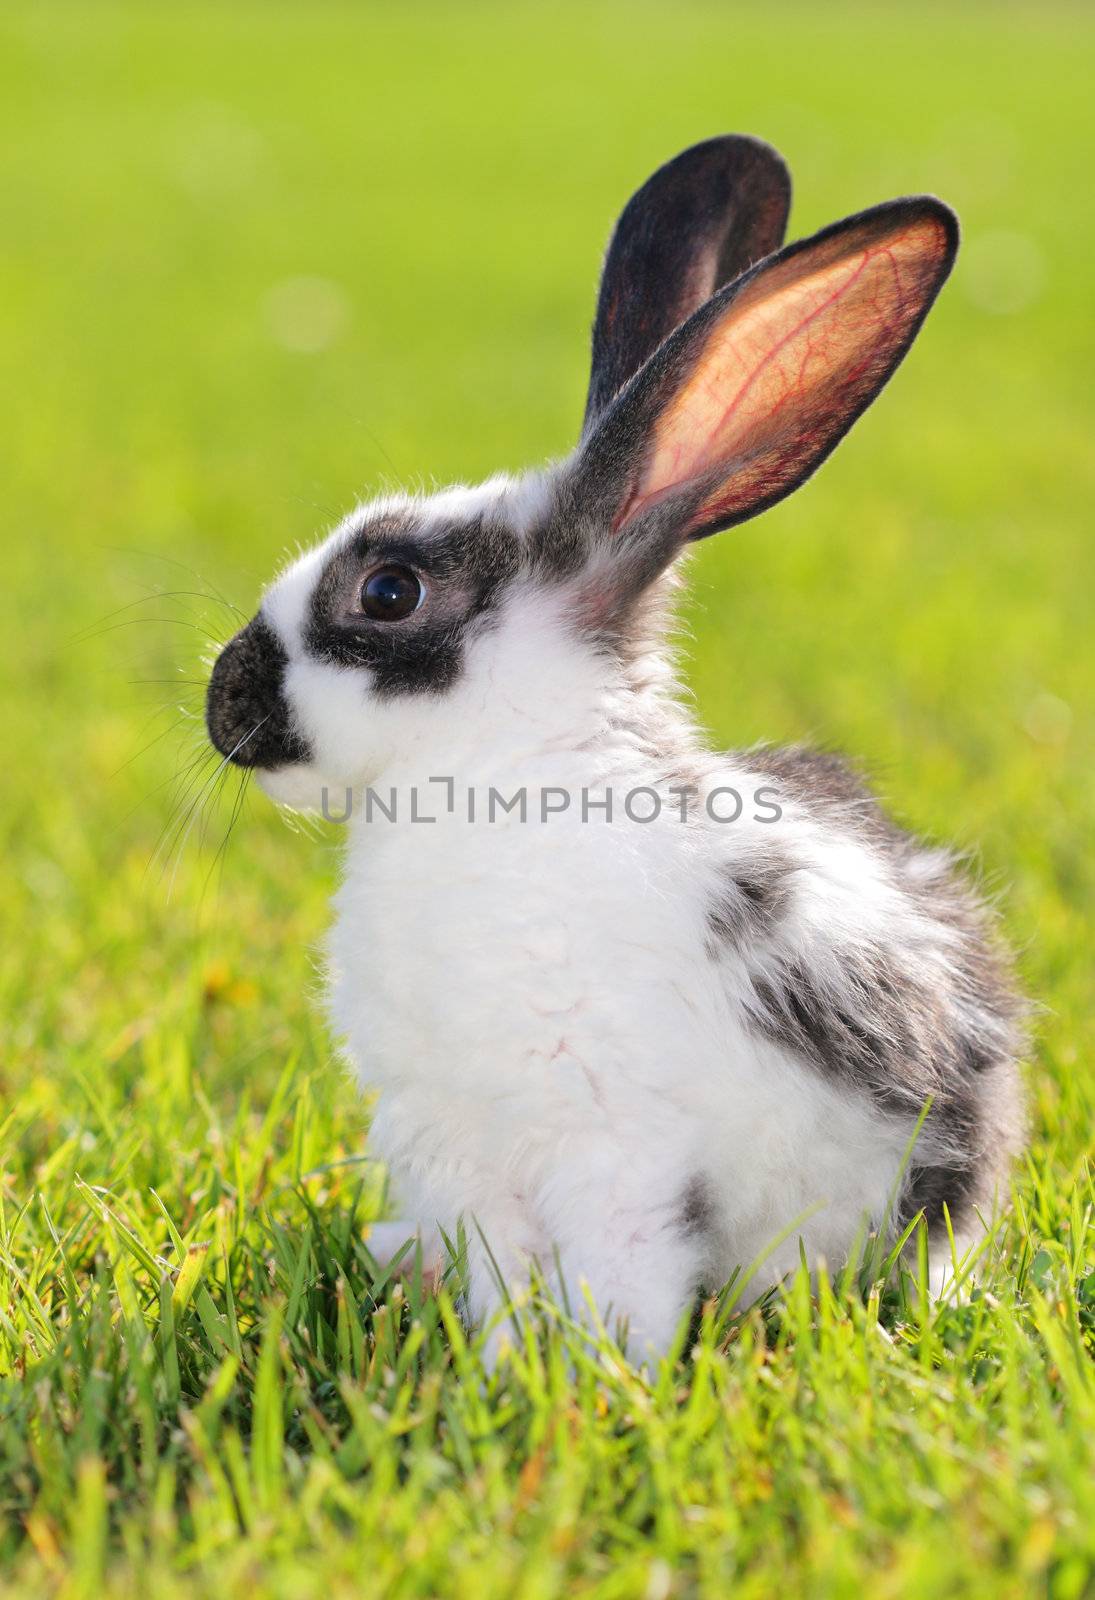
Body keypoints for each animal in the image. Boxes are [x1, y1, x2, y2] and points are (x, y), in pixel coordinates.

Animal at [208, 134, 1024, 1363]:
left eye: (388, 592)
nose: (224, 710)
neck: (500, 775)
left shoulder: (611, 1138)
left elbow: (619, 1276)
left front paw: (598, 1380)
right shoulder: (463, 1145)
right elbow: (505, 1275)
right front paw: (505, 1370)